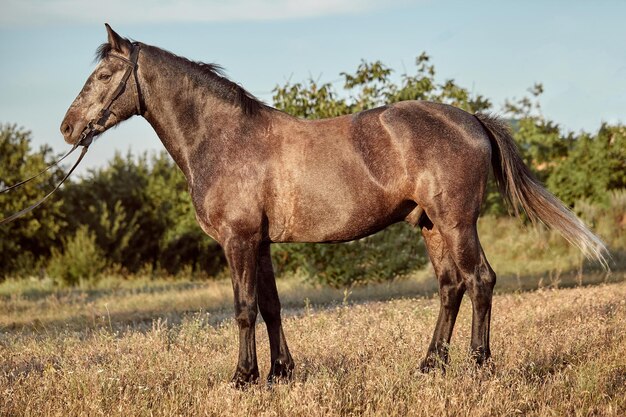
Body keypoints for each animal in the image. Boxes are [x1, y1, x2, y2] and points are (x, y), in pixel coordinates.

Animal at [61, 24, 608, 386]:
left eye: (105, 74)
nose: (68, 128)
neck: (225, 137)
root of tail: (470, 119)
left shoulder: (239, 241)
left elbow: (243, 309)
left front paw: (242, 378)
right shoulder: (260, 243)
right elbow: (271, 307)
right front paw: (280, 374)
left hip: (457, 223)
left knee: (480, 281)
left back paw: (479, 366)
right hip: (432, 226)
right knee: (450, 287)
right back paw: (429, 365)